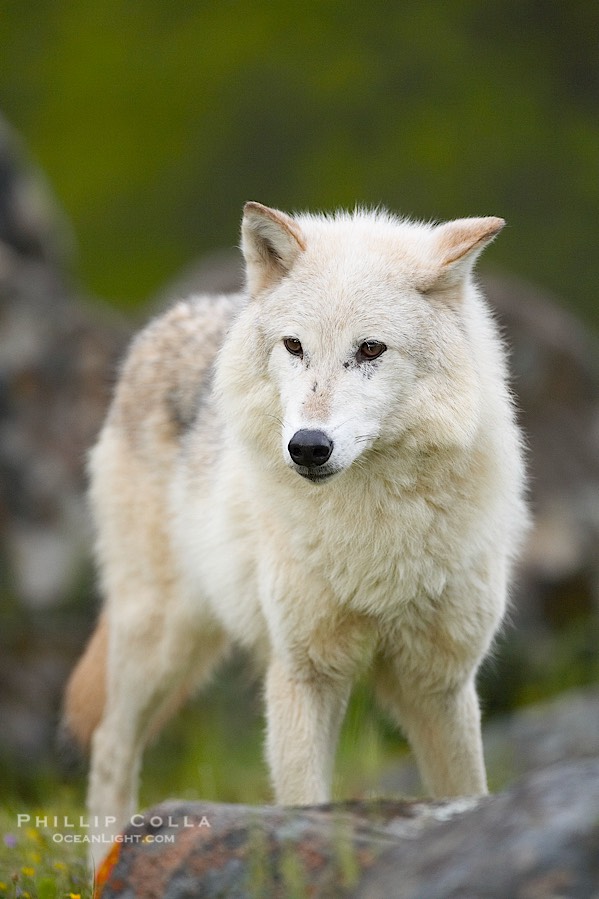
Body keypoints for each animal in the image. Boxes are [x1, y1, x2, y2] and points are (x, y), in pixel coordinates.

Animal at [63, 202, 528, 863]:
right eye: (295, 346)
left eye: (370, 348)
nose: (308, 446)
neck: (372, 534)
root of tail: (173, 318)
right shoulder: (305, 673)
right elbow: (304, 802)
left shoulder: (439, 683)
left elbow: (467, 791)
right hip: (160, 642)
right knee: (108, 746)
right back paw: (103, 866)